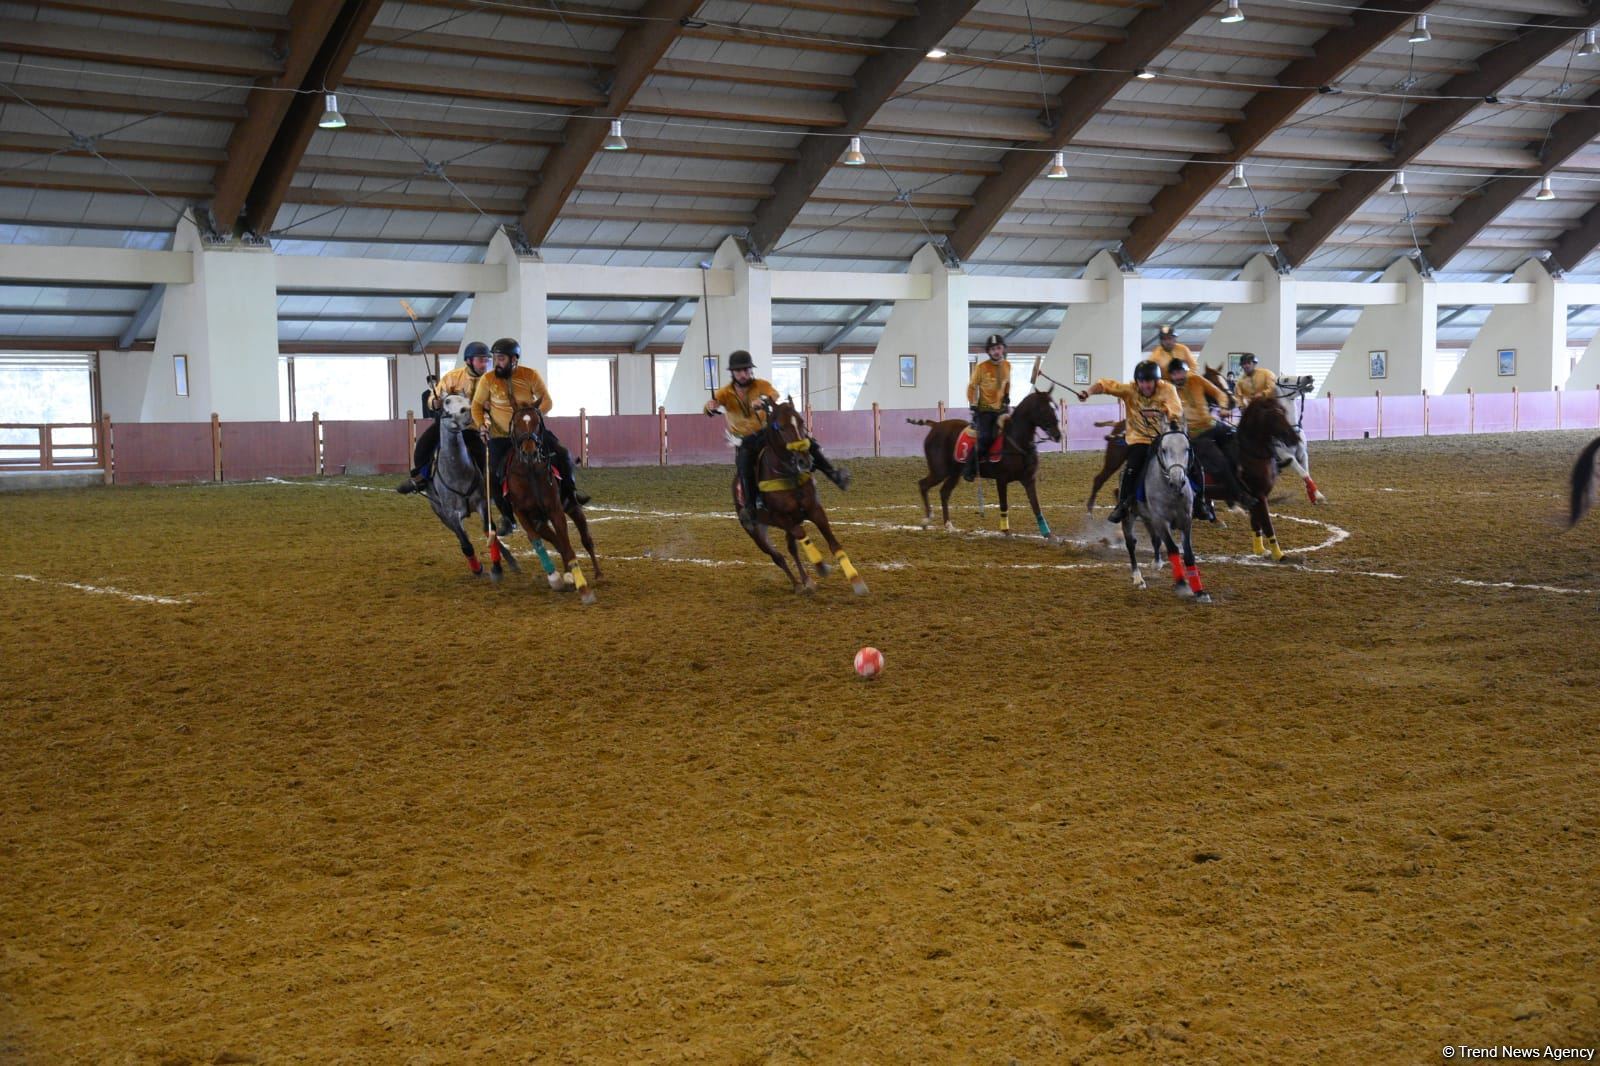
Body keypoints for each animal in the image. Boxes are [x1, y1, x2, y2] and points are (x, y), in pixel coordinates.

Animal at [505, 403, 601, 601]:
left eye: (537, 423)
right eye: (516, 424)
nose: (529, 452)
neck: (530, 471)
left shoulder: (555, 509)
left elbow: (566, 543)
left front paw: (582, 586)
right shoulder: (522, 513)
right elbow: (538, 539)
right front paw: (556, 577)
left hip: (572, 506)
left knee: (586, 539)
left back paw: (597, 574)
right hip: (540, 520)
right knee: (555, 541)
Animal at [732, 398, 870, 592]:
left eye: (801, 422)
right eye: (781, 427)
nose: (804, 460)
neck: (789, 475)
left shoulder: (815, 510)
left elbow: (833, 543)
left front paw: (855, 579)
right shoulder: (782, 517)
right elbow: (802, 533)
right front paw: (820, 565)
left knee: (792, 549)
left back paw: (806, 581)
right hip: (756, 532)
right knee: (778, 556)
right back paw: (797, 584)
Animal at [915, 384, 1062, 541]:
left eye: (1055, 407)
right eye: (1044, 409)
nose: (1058, 435)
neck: (1015, 441)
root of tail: (936, 425)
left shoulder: (1029, 479)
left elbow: (1036, 506)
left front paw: (1048, 533)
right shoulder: (1001, 480)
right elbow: (1004, 504)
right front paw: (1006, 531)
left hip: (954, 473)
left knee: (944, 492)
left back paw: (948, 525)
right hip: (939, 470)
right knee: (923, 485)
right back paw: (927, 520)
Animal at [1126, 422, 1209, 605]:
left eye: (1187, 448)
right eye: (1164, 449)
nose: (1177, 481)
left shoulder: (1186, 520)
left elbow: (1188, 553)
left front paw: (1199, 591)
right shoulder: (1160, 520)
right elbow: (1173, 548)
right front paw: (1182, 584)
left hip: (1148, 519)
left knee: (1155, 540)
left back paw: (1156, 563)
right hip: (1130, 516)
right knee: (1131, 543)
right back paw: (1138, 578)